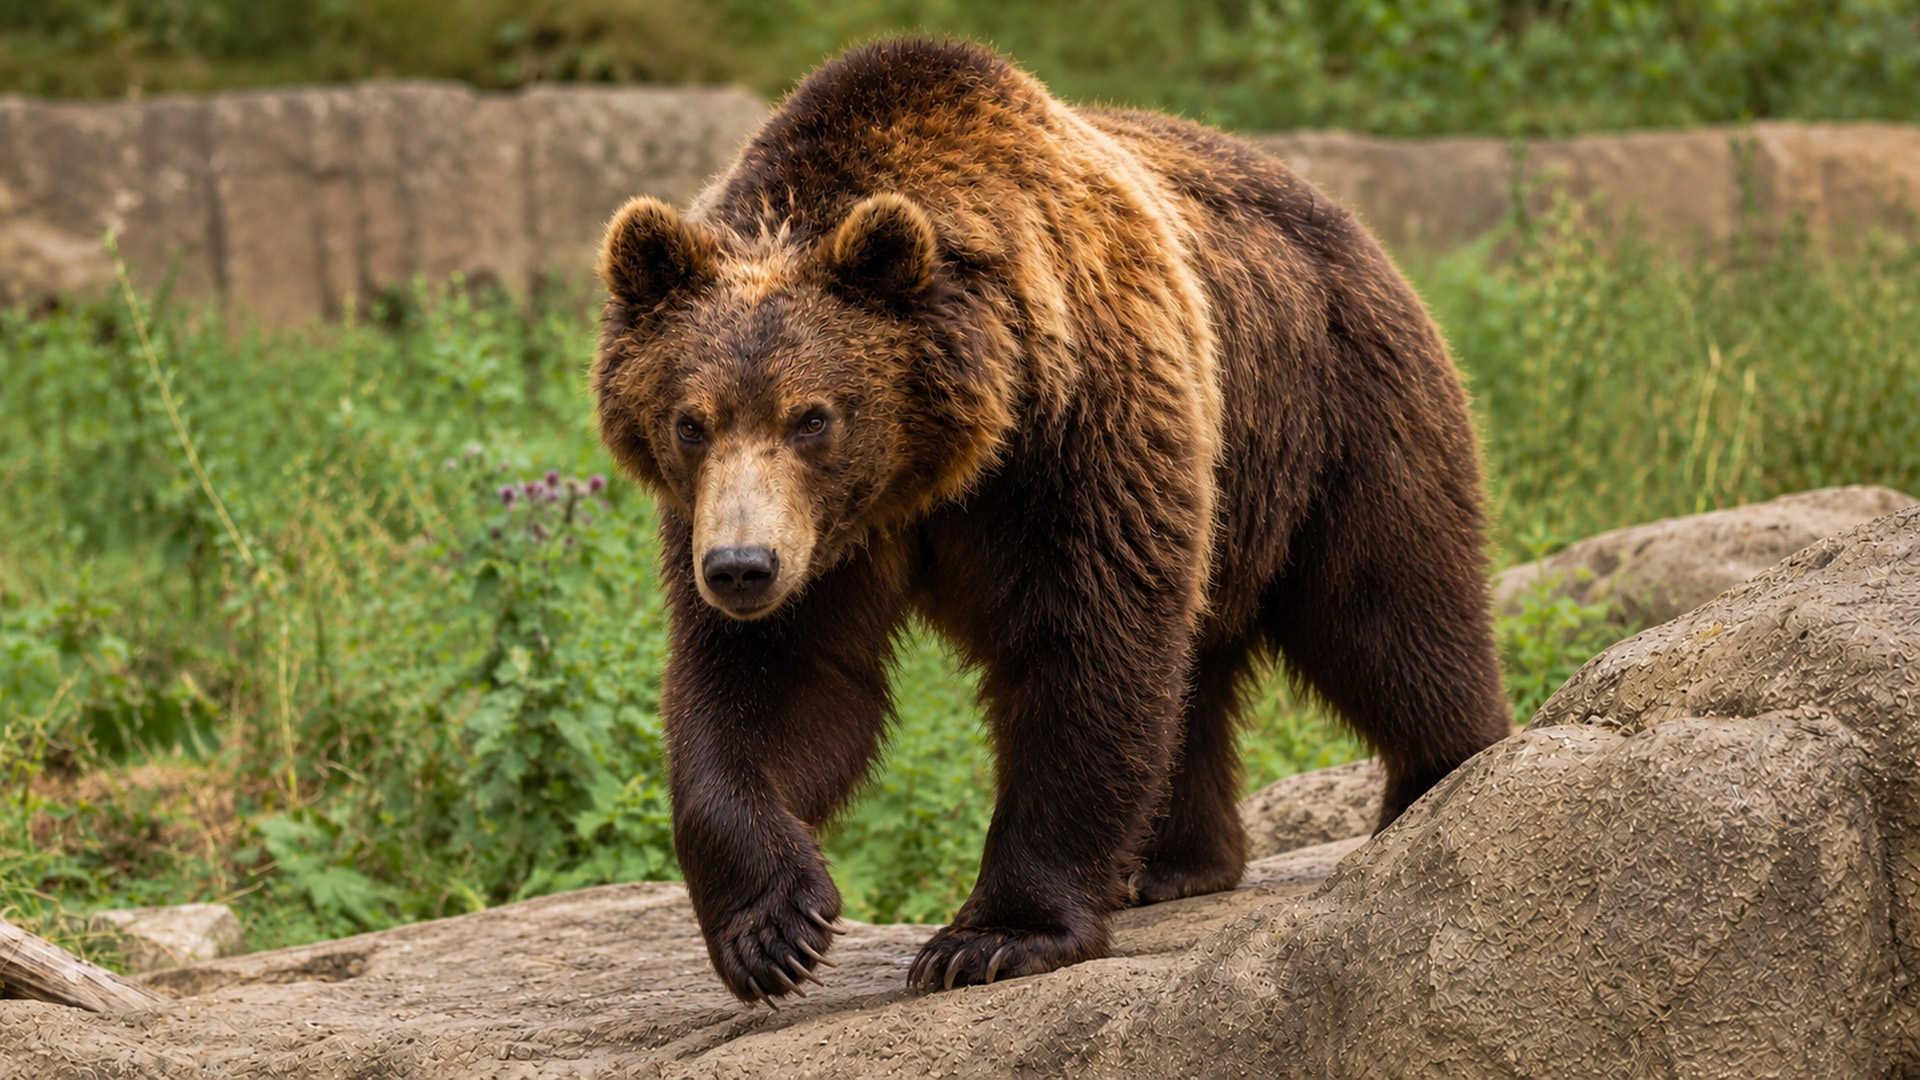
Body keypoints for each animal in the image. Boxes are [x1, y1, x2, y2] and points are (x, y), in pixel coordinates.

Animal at [591, 39, 1511, 1003]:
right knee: (1202, 666)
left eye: (813, 417)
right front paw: (774, 930)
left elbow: (1087, 645)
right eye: (690, 421)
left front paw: (992, 937)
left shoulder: (1079, 433)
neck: (939, 463)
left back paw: (1437, 789)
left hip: (1327, 412)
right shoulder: (804, 535)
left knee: (1388, 606)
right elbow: (777, 680)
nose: (742, 567)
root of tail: (1353, 223)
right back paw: (1170, 863)